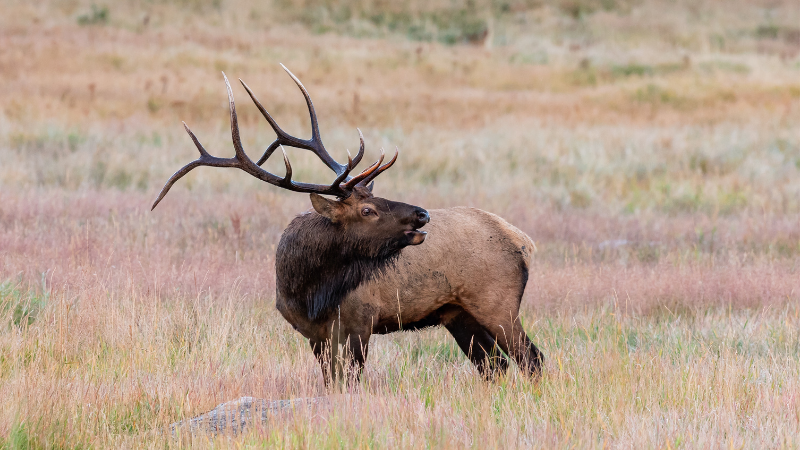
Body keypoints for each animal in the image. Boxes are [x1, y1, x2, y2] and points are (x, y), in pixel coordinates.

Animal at [152, 65, 544, 386]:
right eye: (368, 209)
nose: (422, 214)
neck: (307, 289)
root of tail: (523, 241)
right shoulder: (314, 334)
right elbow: (331, 381)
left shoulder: (360, 321)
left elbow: (350, 380)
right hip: (458, 313)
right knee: (495, 366)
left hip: (497, 303)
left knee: (531, 359)